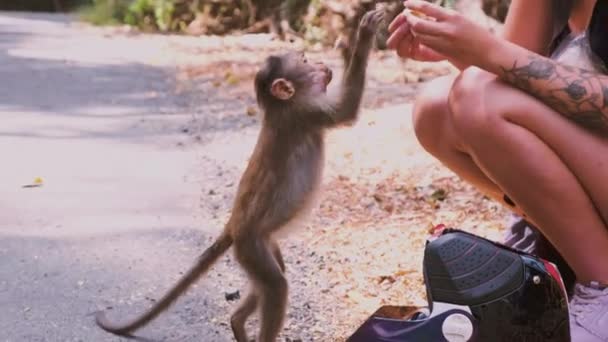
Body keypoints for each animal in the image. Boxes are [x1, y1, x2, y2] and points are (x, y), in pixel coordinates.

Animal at [95, 8, 384, 342]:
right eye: (304, 61)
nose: (322, 64)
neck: (281, 105)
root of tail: (233, 225)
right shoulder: (304, 112)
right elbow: (346, 110)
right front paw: (363, 37)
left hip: (261, 243)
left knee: (271, 278)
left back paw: (237, 321)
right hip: (251, 246)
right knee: (276, 284)